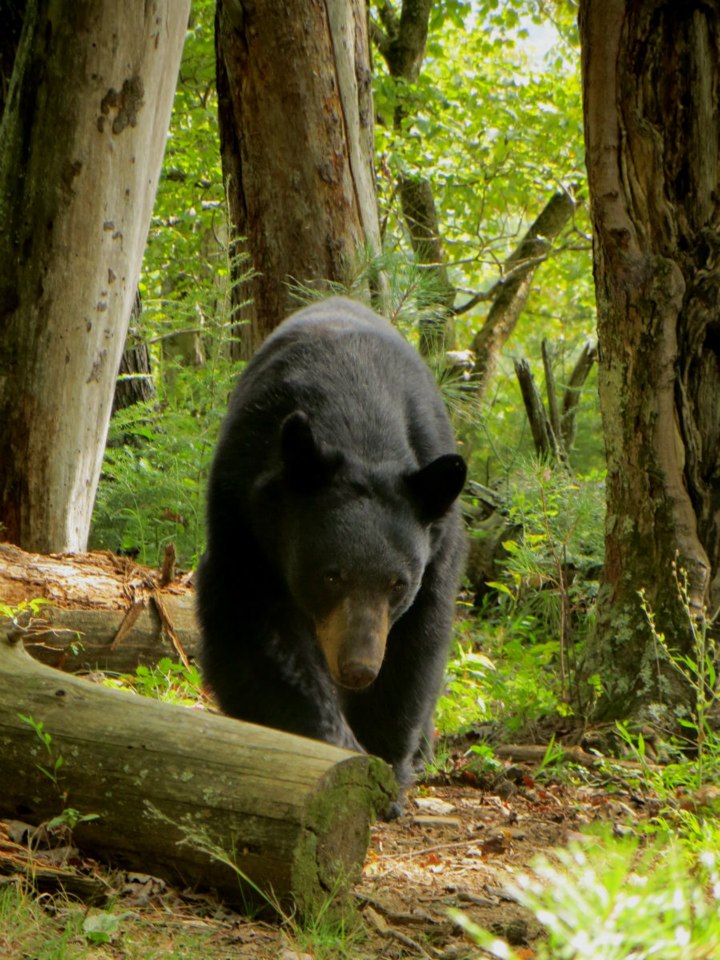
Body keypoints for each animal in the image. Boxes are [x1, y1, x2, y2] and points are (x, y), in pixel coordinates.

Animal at [196, 296, 466, 799]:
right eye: (330, 574)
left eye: (398, 584)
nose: (358, 667)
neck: (358, 416)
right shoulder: (243, 513)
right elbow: (254, 630)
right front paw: (331, 741)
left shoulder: (438, 546)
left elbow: (418, 646)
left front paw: (387, 761)